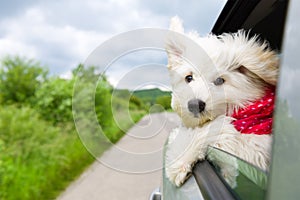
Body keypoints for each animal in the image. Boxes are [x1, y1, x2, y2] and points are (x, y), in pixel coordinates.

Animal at [165, 16, 278, 187]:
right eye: (189, 78)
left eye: (219, 80)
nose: (194, 105)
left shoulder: (258, 153)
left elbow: (218, 131)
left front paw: (180, 159)